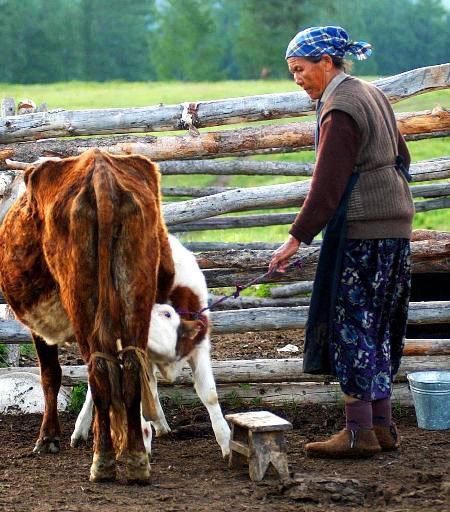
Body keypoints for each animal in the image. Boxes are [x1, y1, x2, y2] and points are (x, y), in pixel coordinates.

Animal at [0, 149, 178, 484]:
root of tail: (101, 170)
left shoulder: (41, 325)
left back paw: (103, 460)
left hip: (83, 305)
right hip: (136, 299)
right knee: (130, 367)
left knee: (99, 370)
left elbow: (50, 374)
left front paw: (49, 438)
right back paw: (136, 457)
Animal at [72, 234, 232, 458]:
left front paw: (226, 443)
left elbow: (209, 395)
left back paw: (160, 424)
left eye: (166, 314)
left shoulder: (199, 347)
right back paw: (80, 431)